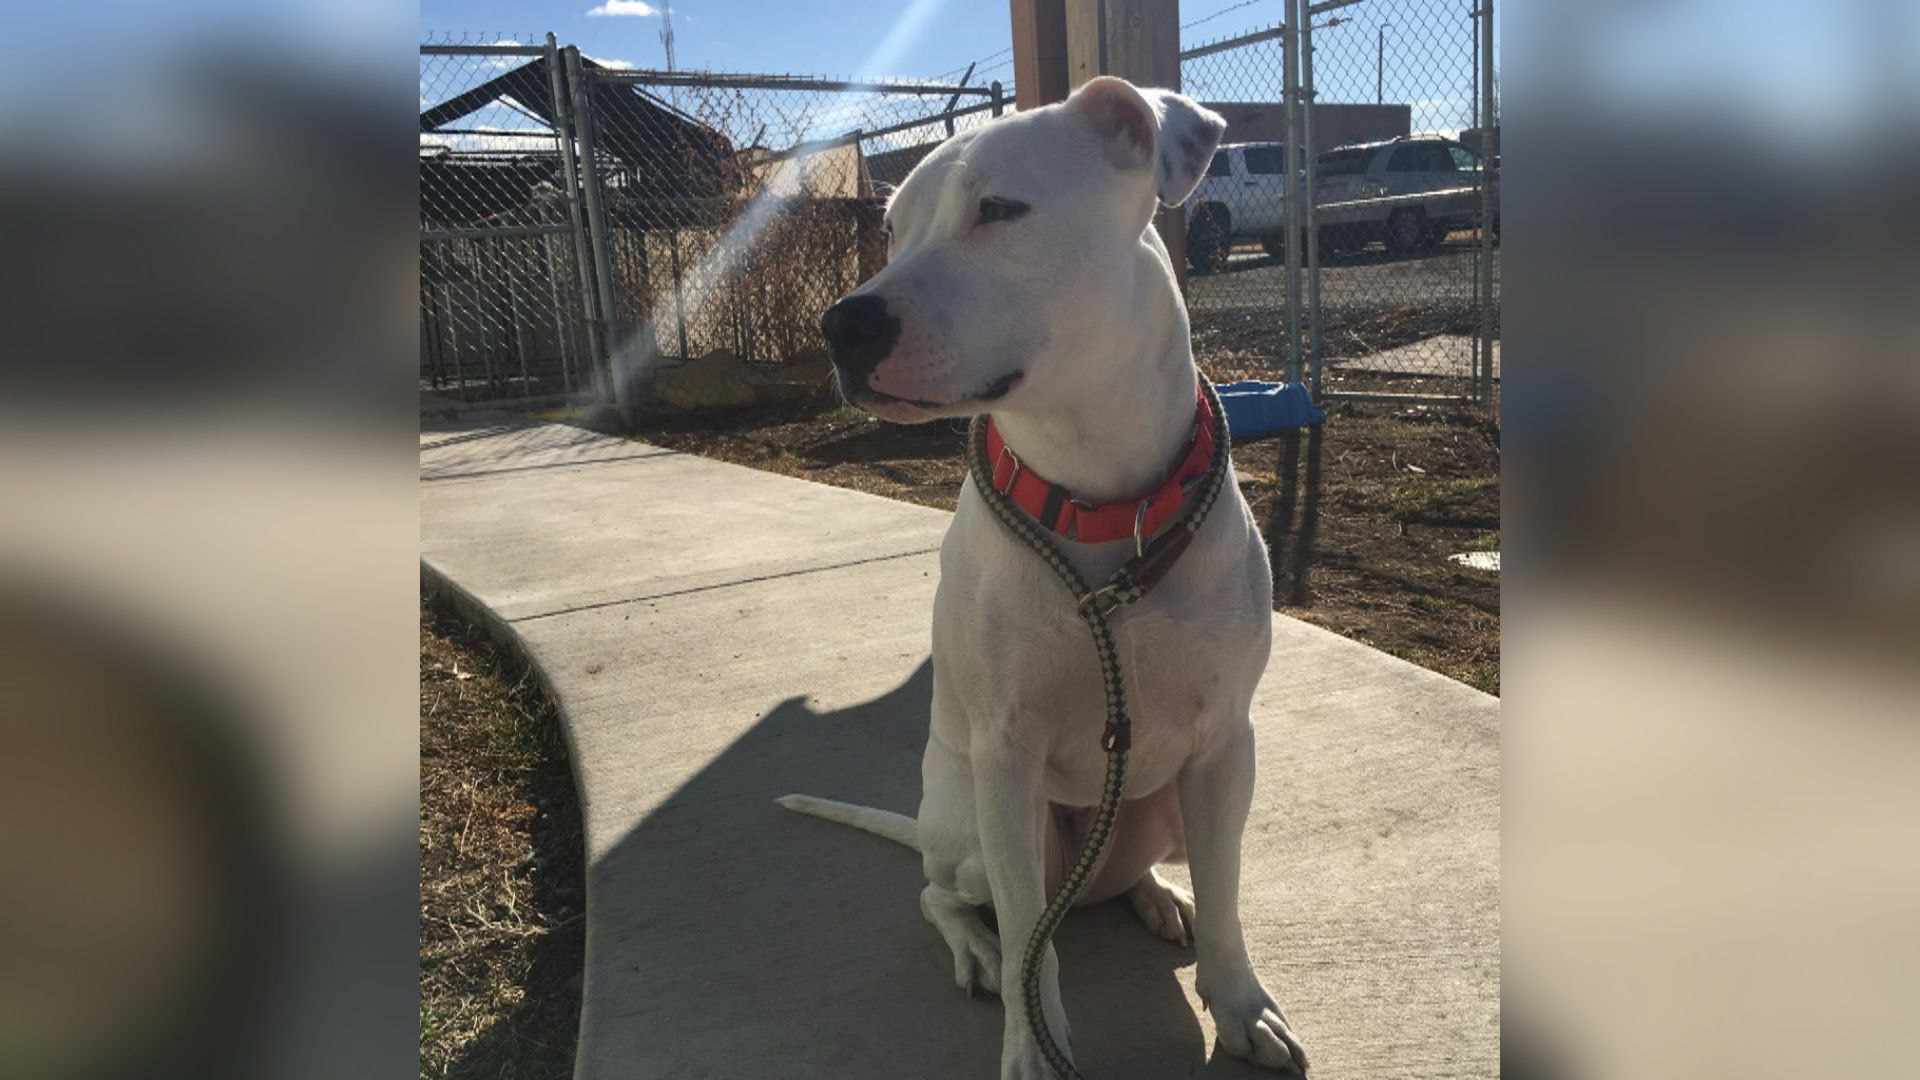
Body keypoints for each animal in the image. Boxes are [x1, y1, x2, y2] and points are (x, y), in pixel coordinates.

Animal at [779, 77, 1305, 1076]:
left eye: (1000, 209)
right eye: (893, 229)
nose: (840, 323)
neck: (1101, 503)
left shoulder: (1227, 746)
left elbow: (1228, 897)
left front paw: (1243, 1005)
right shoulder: (1006, 756)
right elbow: (1030, 932)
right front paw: (1034, 1044)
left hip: (1160, 808)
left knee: (1132, 875)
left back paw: (1157, 900)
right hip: (968, 823)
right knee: (945, 896)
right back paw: (980, 952)